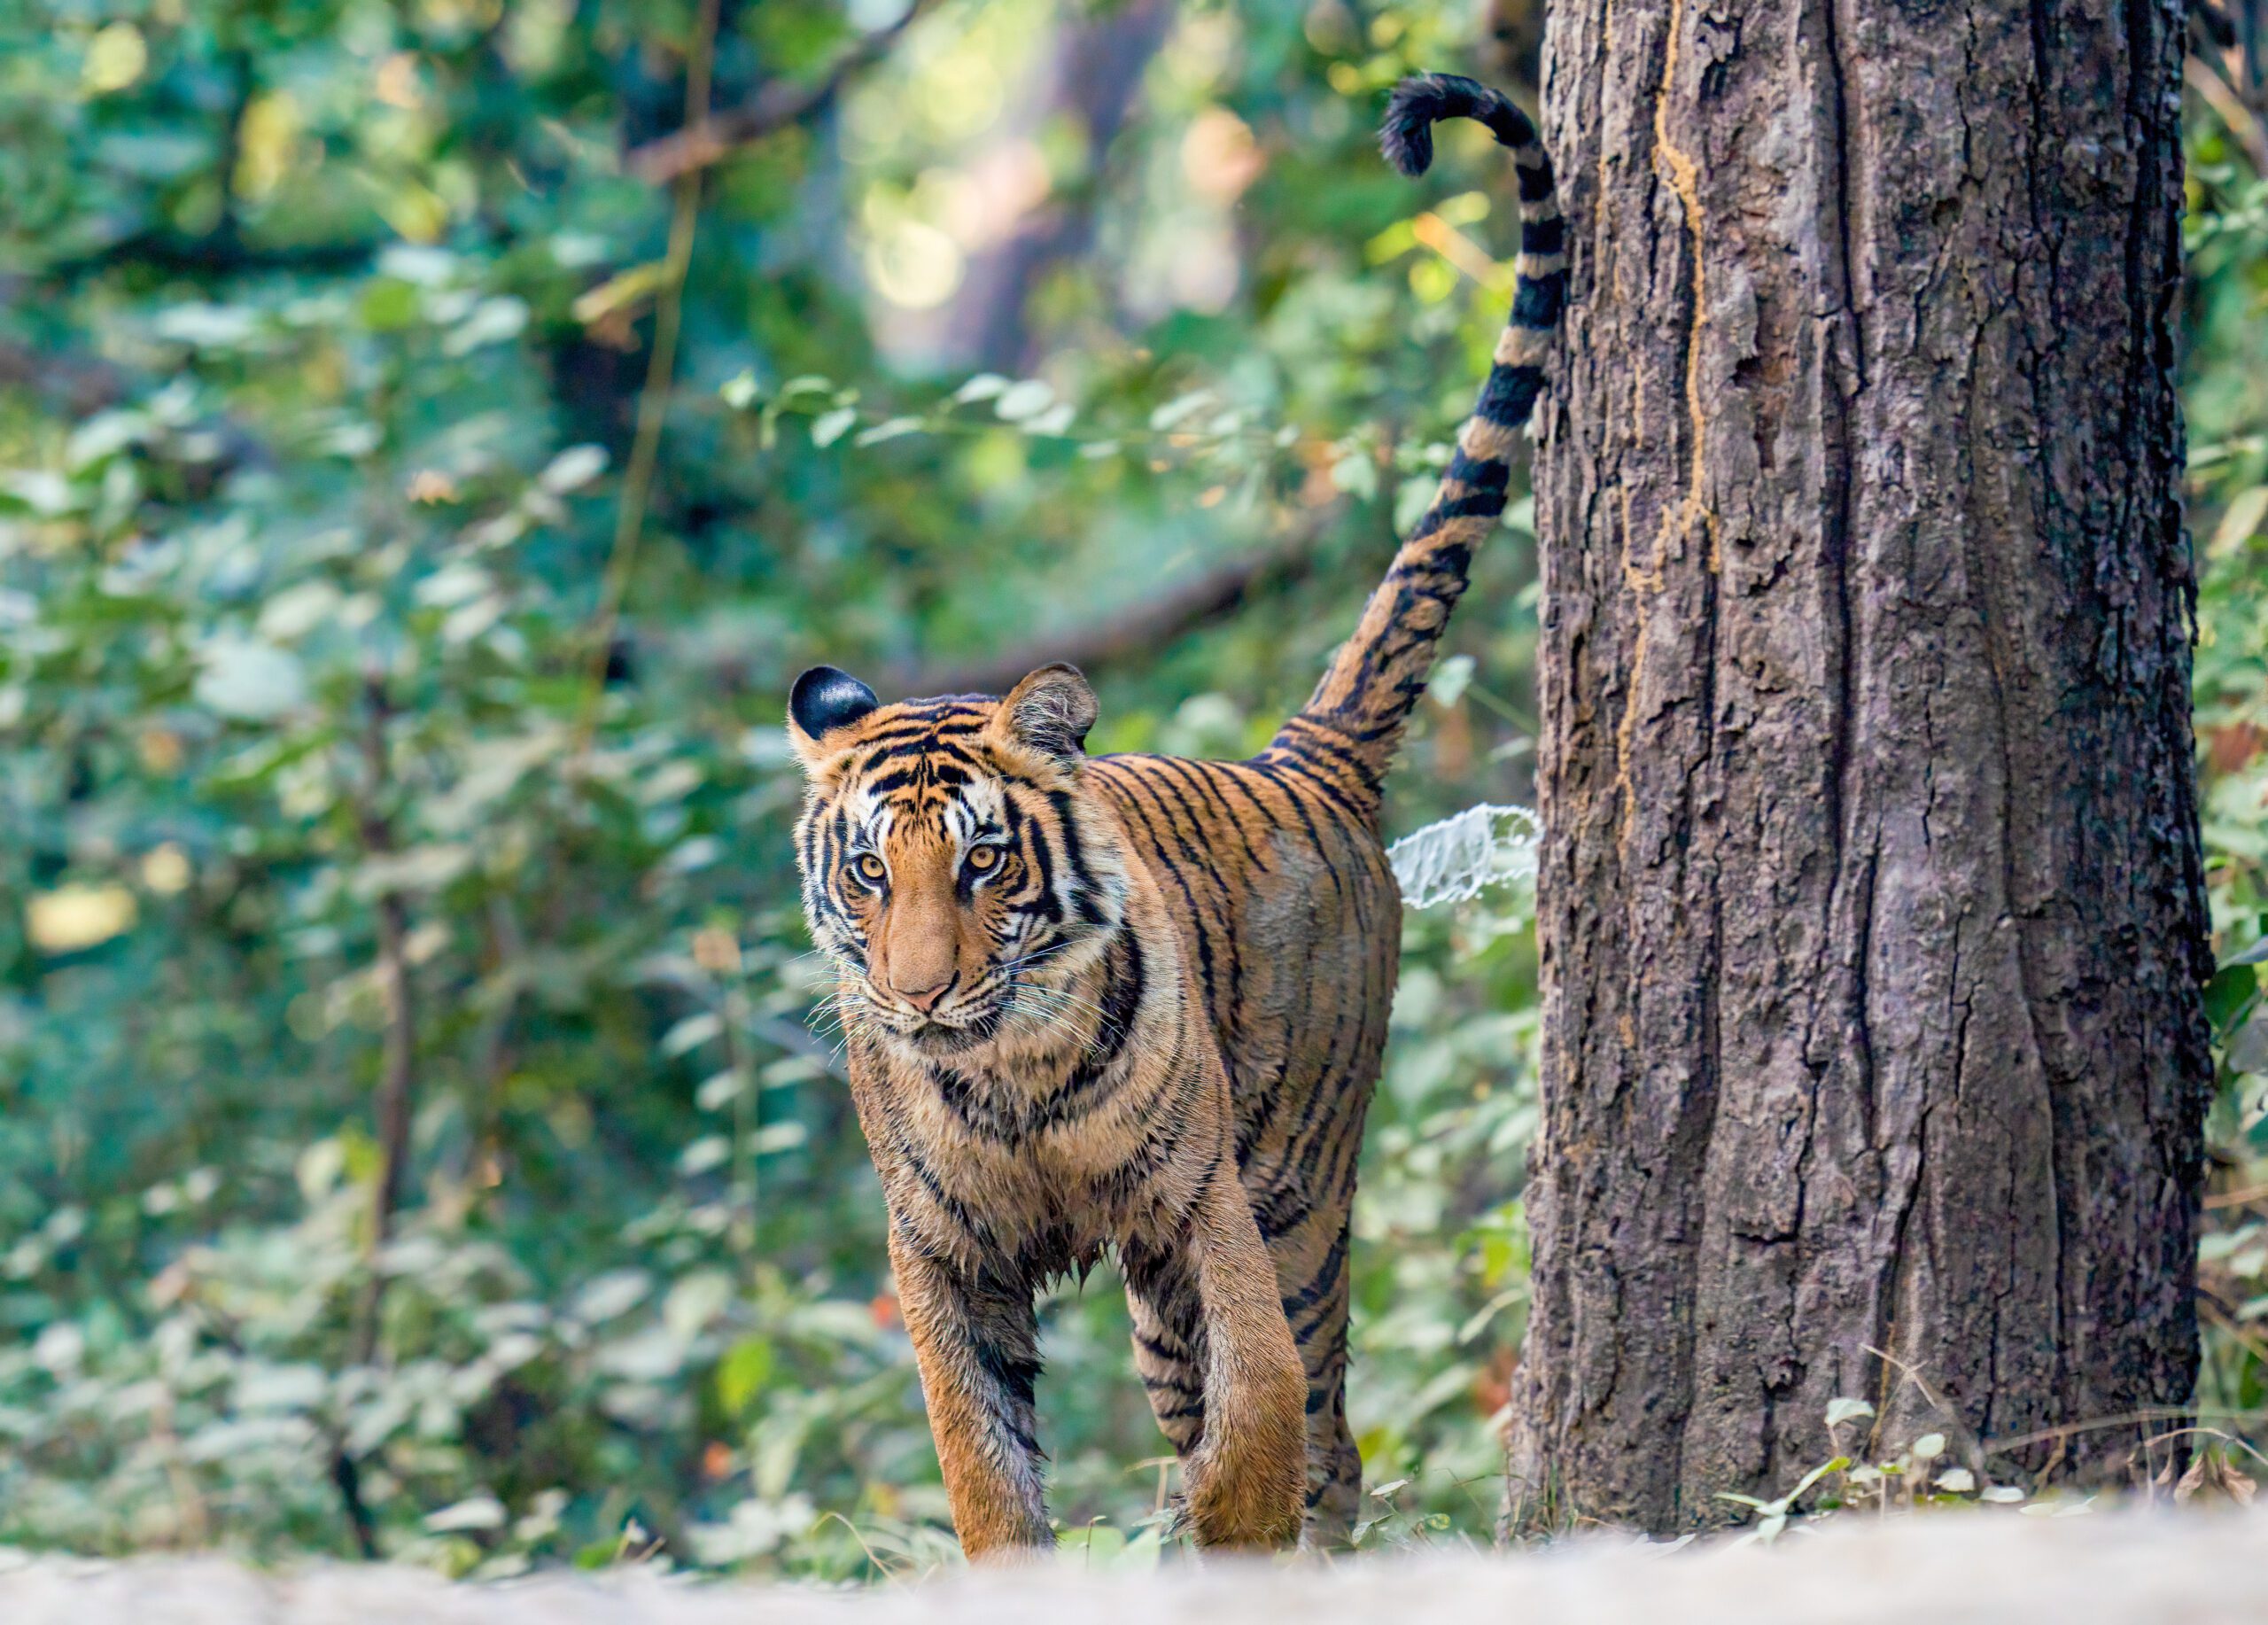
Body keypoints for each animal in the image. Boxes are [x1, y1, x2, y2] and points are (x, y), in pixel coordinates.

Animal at [784, 75, 1560, 1561]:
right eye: (867, 872)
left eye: (981, 862)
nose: (917, 995)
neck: (1010, 1074)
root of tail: (1303, 757)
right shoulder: (943, 1248)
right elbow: (986, 1463)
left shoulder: (1200, 1201)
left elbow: (1258, 1401)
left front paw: (1226, 1528)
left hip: (1299, 1185)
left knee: (1328, 1423)